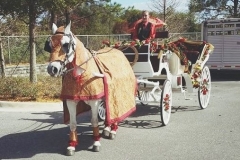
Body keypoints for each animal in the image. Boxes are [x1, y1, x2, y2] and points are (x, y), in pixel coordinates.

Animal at [44, 21, 136, 156]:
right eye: (49, 45)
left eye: (66, 44)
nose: (52, 69)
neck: (81, 75)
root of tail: (118, 50)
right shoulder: (71, 101)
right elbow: (73, 123)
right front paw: (72, 145)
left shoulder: (94, 101)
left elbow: (94, 121)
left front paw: (96, 142)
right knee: (108, 110)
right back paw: (107, 128)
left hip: (115, 94)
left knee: (115, 110)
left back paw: (113, 129)